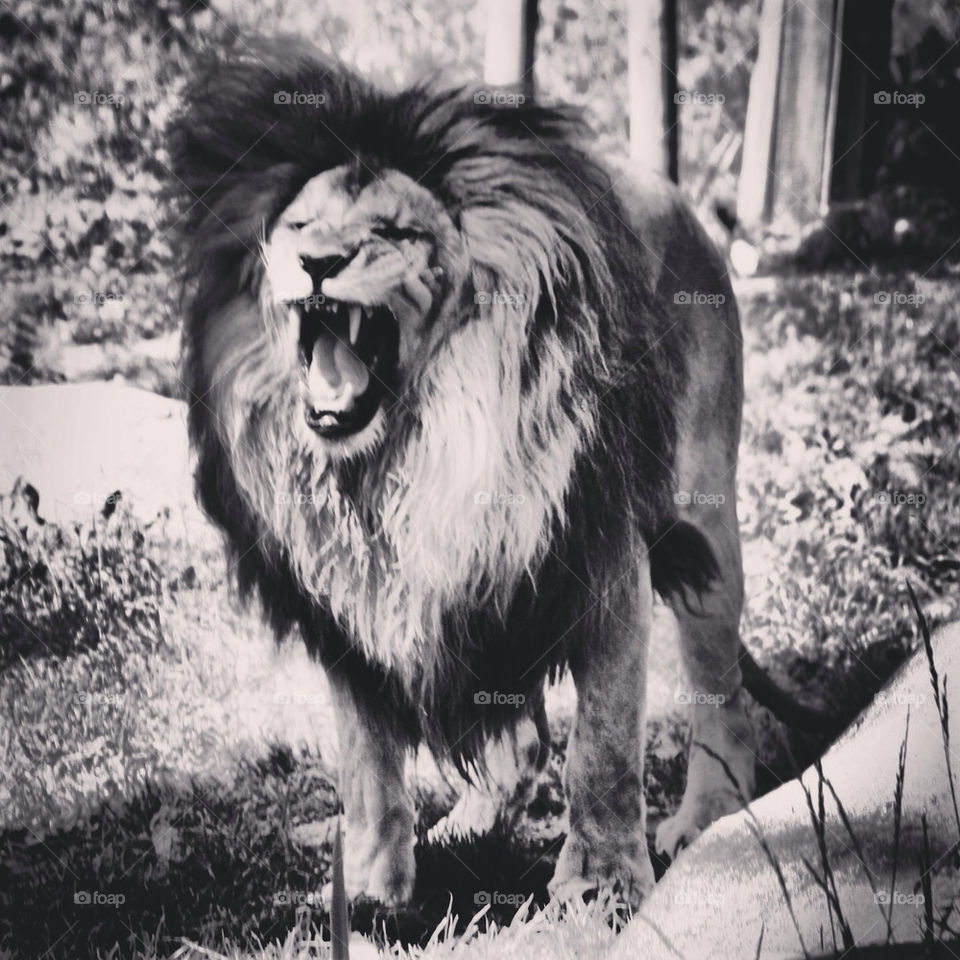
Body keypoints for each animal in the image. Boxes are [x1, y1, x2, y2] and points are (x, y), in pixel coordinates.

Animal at [169, 42, 825, 908]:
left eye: (392, 232)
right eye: (300, 229)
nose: (317, 263)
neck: (414, 453)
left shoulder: (603, 550)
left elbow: (603, 743)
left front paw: (601, 881)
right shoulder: (354, 602)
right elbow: (368, 764)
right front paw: (370, 889)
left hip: (702, 521)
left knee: (720, 691)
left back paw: (709, 813)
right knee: (512, 737)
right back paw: (468, 824)